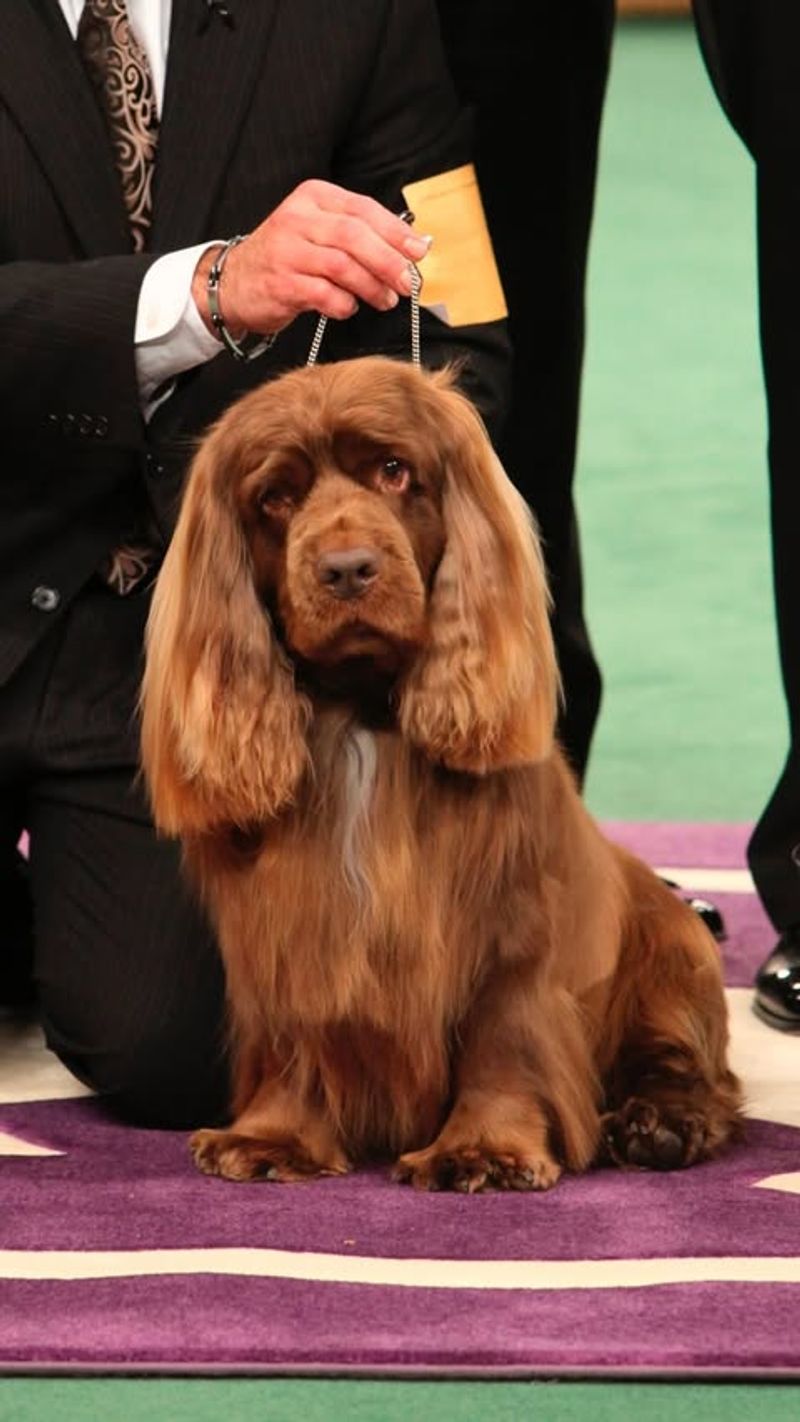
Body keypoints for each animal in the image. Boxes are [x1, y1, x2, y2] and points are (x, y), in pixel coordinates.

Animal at [139, 352, 744, 1188]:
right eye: (277, 499)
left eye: (394, 472)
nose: (347, 569)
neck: (364, 719)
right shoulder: (286, 933)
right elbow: (295, 1039)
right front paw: (273, 1137)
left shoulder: (510, 936)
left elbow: (504, 1042)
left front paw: (484, 1149)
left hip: (673, 957)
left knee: (693, 1070)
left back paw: (660, 1125)